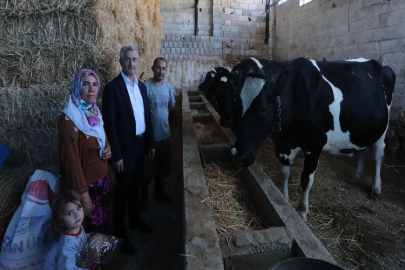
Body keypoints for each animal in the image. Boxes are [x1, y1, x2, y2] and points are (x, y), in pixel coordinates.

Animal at [230, 57, 394, 221]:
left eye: (263, 110)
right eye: (237, 104)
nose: (237, 154)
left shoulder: (315, 145)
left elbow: (306, 180)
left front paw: (302, 211)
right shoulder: (283, 144)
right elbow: (285, 172)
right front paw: (285, 199)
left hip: (383, 128)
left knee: (378, 153)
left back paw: (375, 188)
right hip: (364, 128)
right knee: (364, 149)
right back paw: (356, 176)